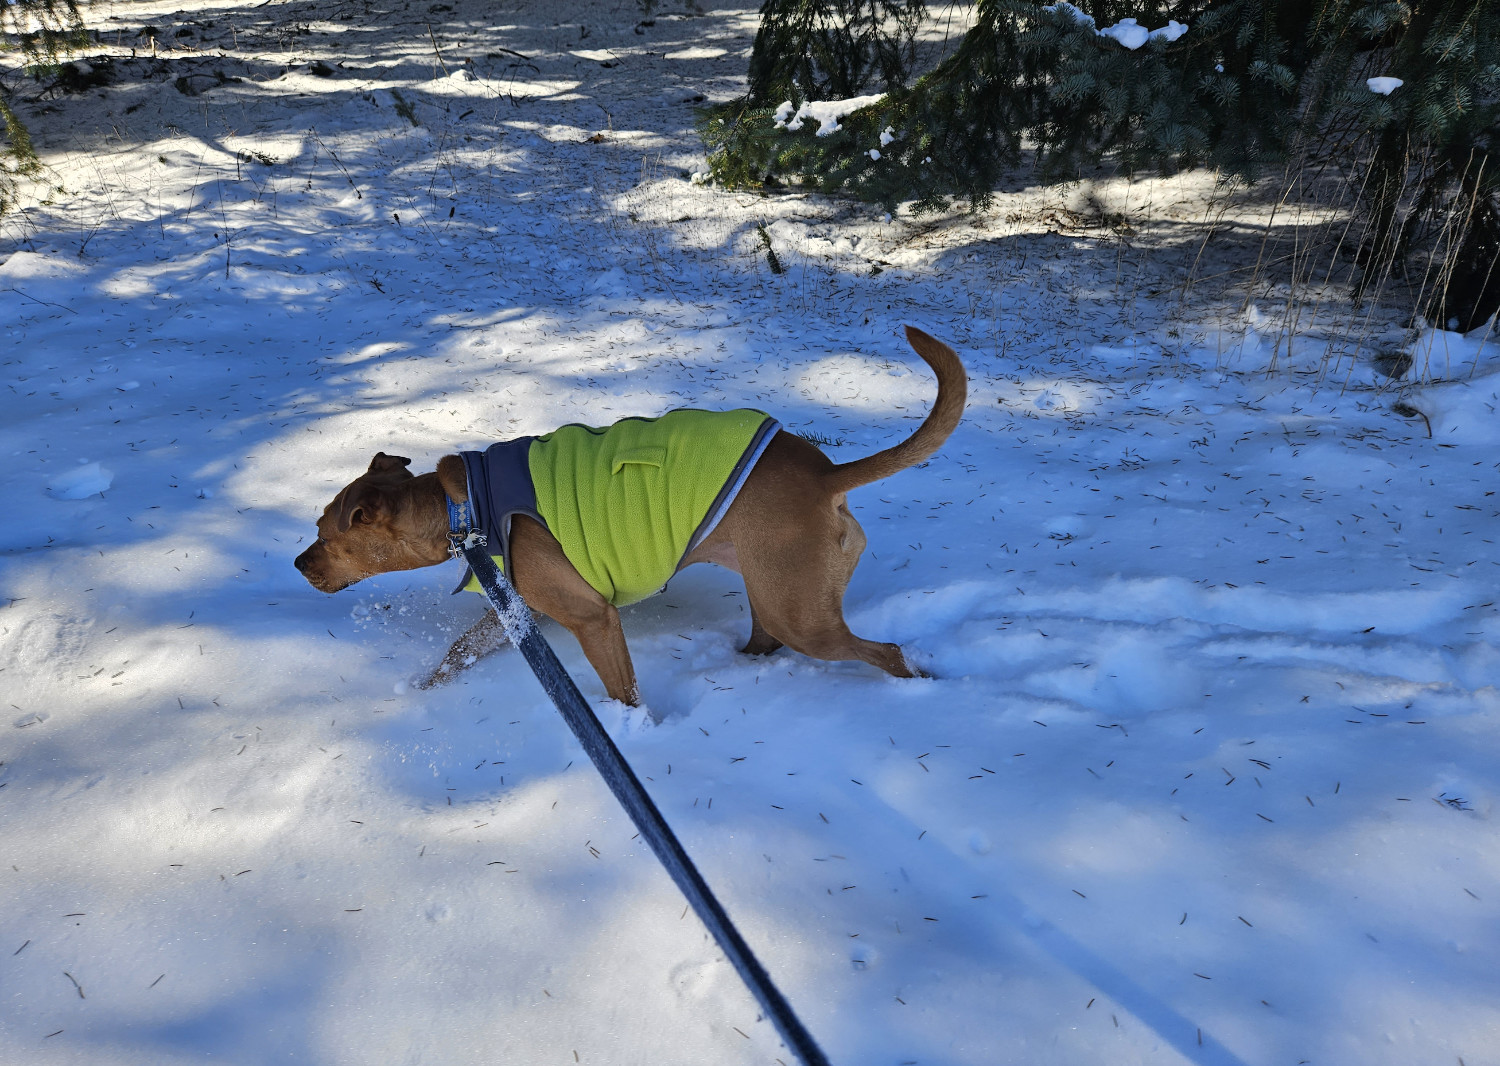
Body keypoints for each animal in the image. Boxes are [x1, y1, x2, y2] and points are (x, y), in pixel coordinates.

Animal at [298, 326, 966, 707]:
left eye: (325, 535)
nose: (299, 564)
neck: (465, 509)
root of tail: (827, 476)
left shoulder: (592, 617)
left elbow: (623, 690)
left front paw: (635, 729)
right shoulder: (520, 609)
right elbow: (457, 651)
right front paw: (420, 694)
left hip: (800, 612)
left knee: (888, 652)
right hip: (772, 590)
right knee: (766, 640)